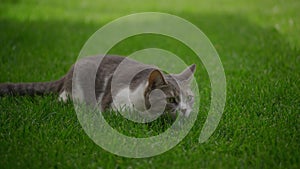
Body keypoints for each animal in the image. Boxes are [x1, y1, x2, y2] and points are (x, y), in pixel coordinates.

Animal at [0, 55, 196, 119]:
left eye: (190, 98)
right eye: (171, 99)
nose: (185, 109)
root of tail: (71, 69)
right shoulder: (115, 104)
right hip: (74, 90)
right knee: (63, 96)